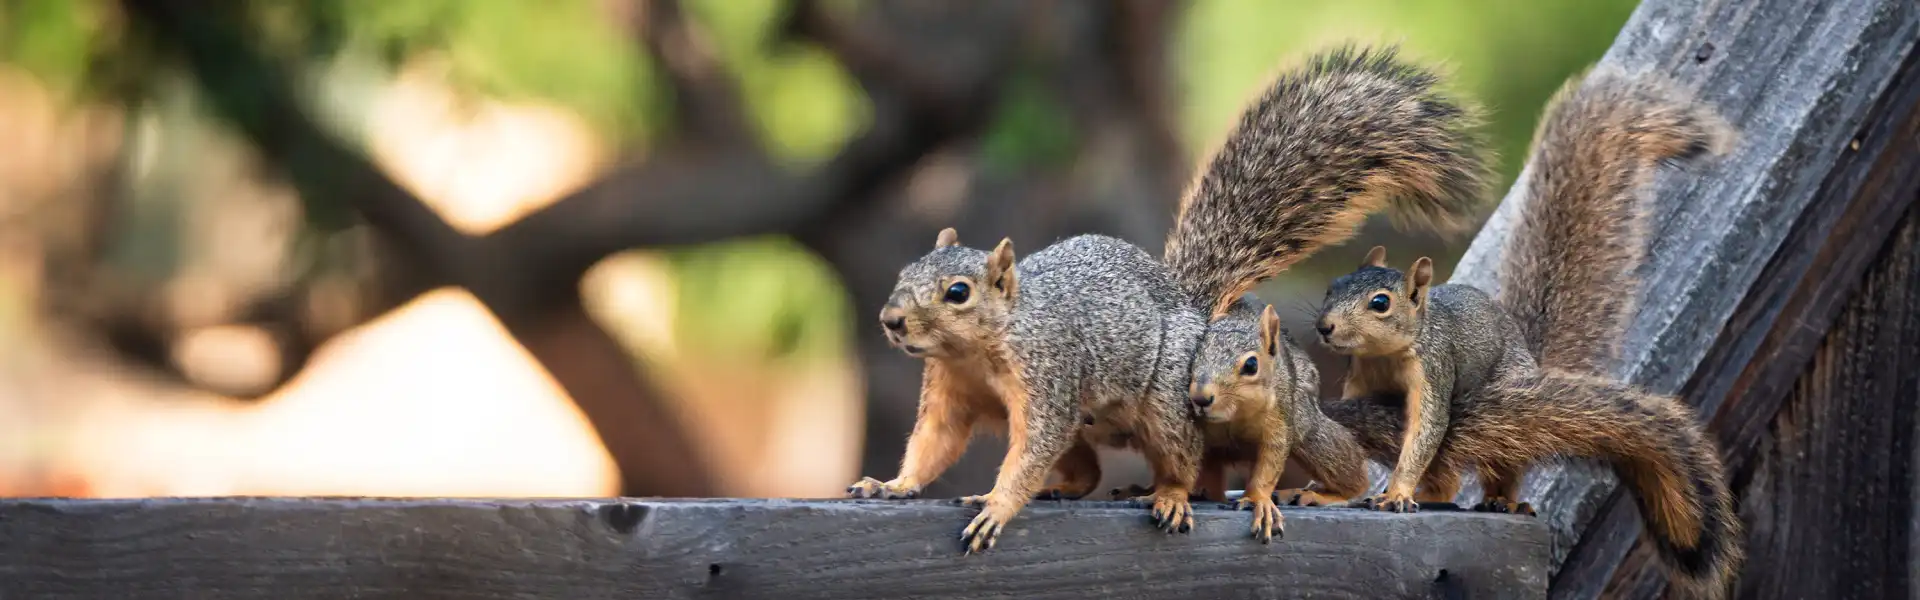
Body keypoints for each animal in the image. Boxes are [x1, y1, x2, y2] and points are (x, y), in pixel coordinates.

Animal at [845, 44, 1490, 554]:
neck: (979, 347)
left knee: (1181, 460)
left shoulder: (1049, 380)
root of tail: (1191, 305)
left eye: (958, 292)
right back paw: (1078, 486)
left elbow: (1029, 452)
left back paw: (1172, 493)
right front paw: (893, 485)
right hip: (1094, 424)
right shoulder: (950, 392)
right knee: (1087, 470)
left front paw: (998, 507)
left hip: (1167, 406)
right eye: (905, 272)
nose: (891, 320)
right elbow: (934, 443)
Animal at [1295, 66, 1743, 597]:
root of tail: (1528, 355)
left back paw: (1501, 500)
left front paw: (1398, 492)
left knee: (1501, 463)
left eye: (1380, 303)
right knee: (1447, 479)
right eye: (1332, 287)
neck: (1387, 353)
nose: (1325, 327)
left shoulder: (1434, 370)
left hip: (1507, 400)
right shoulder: (1361, 378)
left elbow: (1426, 430)